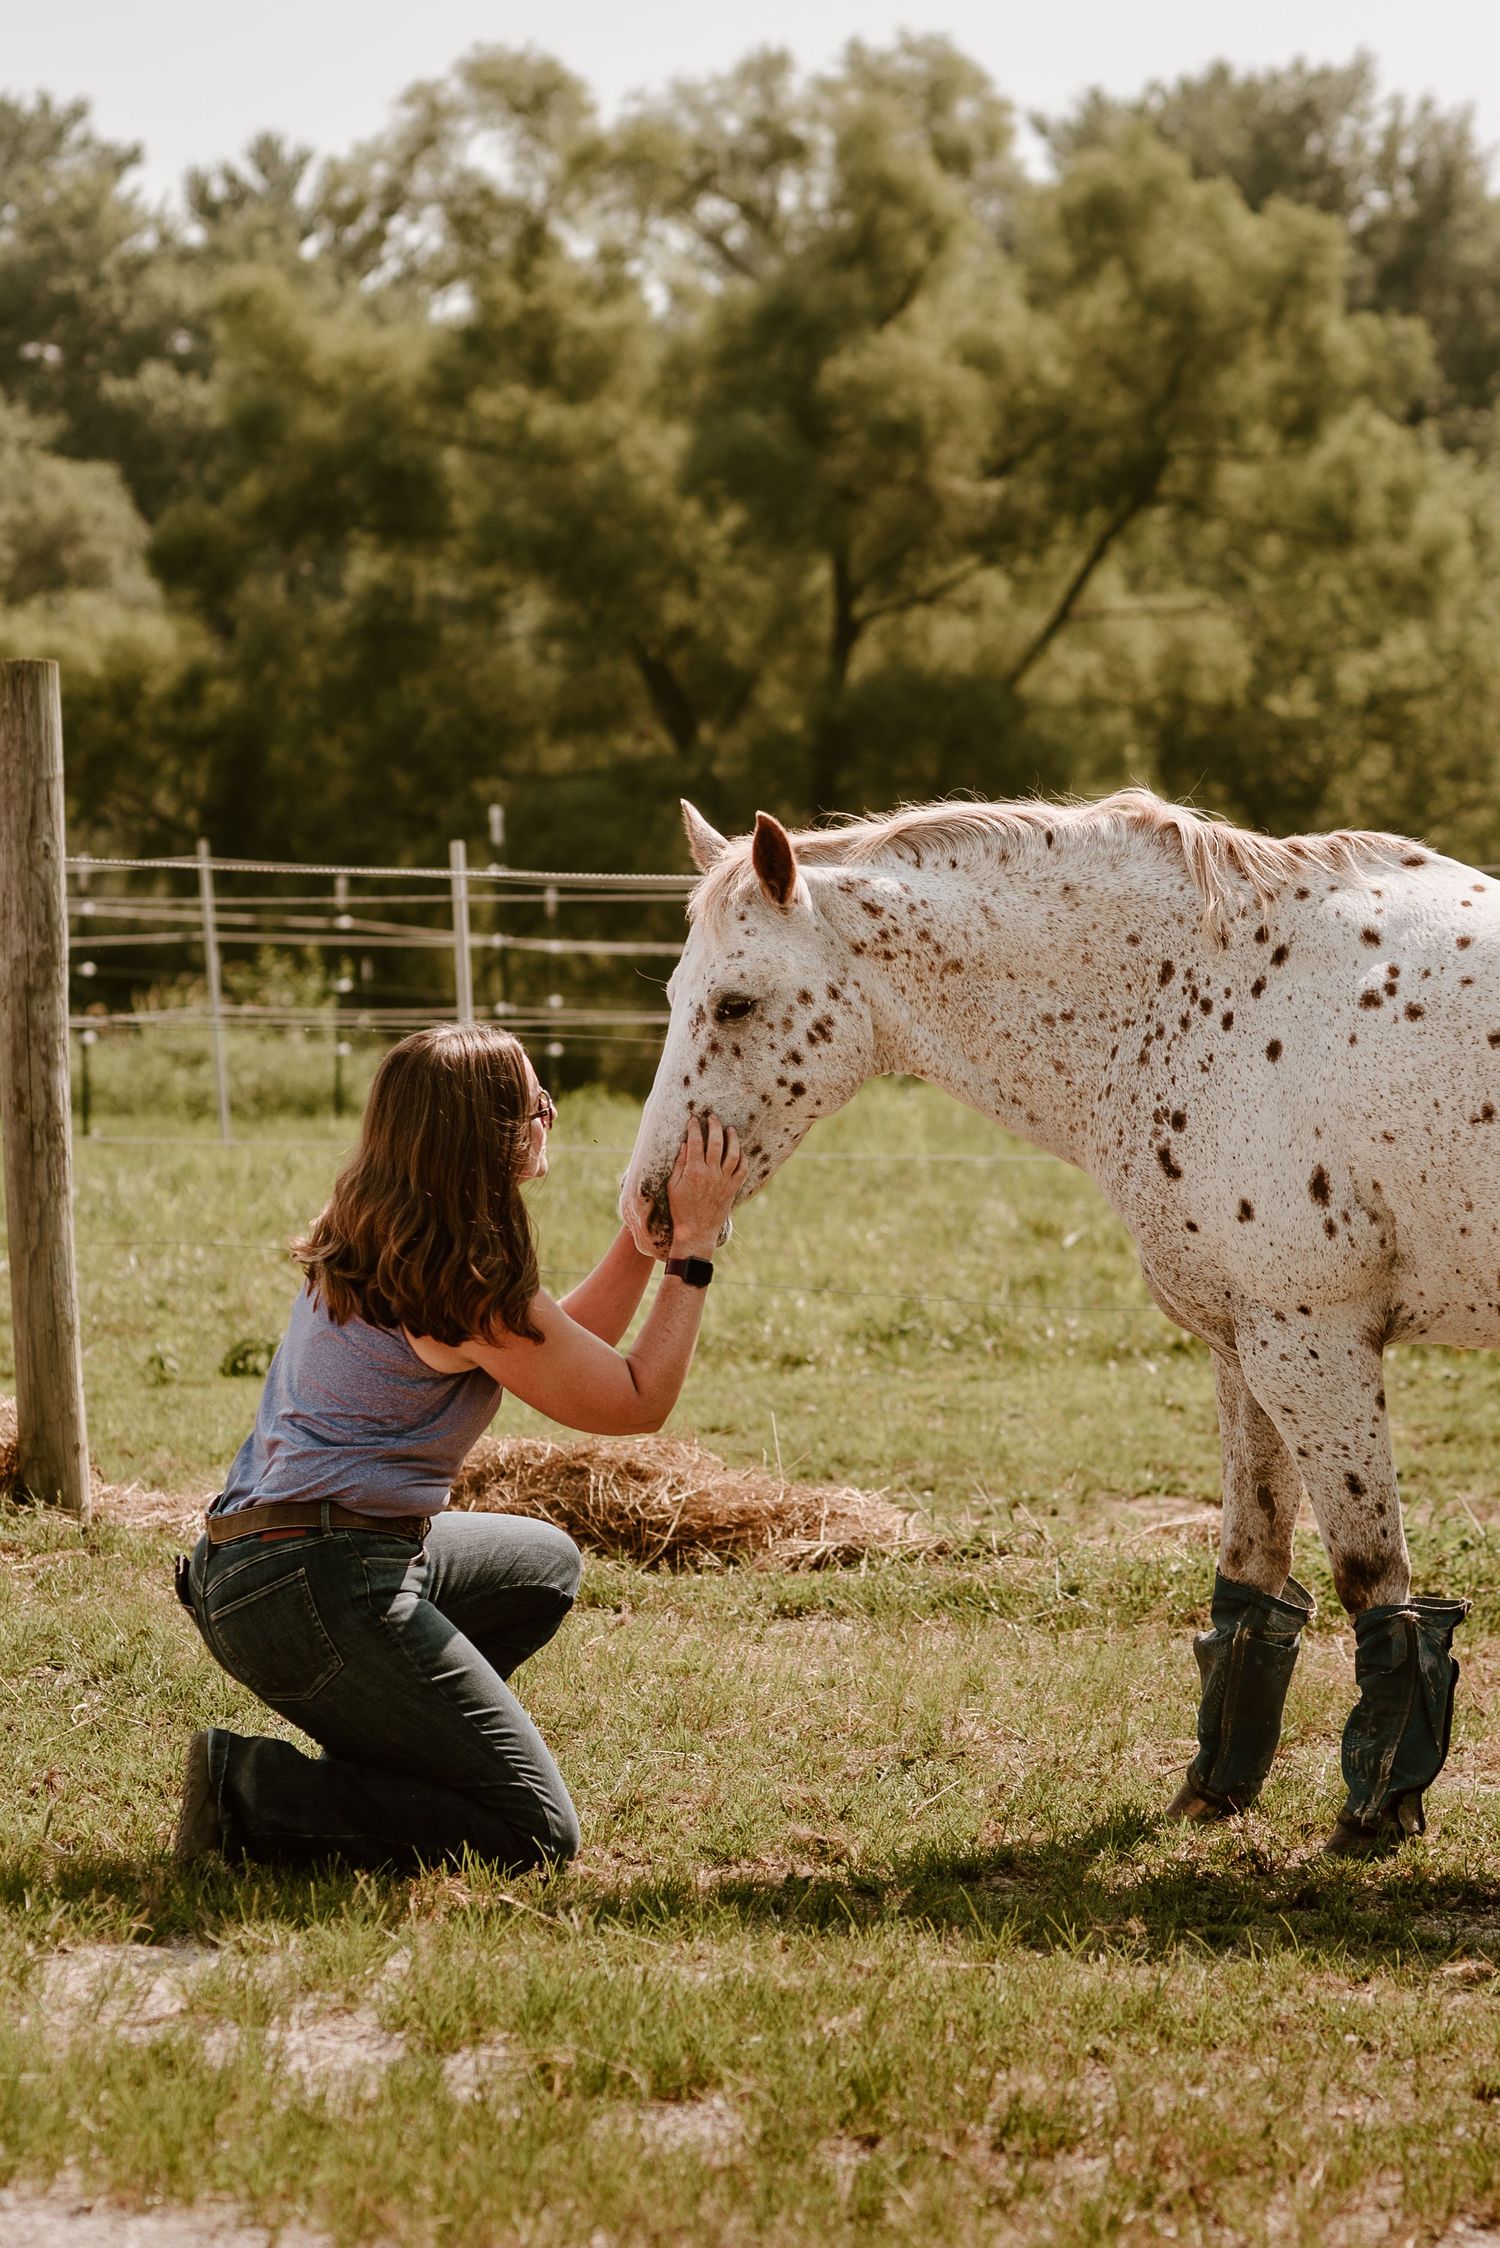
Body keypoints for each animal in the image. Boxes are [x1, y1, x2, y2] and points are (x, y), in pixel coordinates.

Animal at [621, 788, 1497, 1855]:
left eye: (735, 1003)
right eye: (676, 995)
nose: (650, 1209)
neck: (1209, 1001)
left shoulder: (1313, 1342)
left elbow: (1375, 1580)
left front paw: (1377, 1812)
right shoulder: (1248, 1348)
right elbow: (1252, 1569)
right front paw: (1214, 1789)